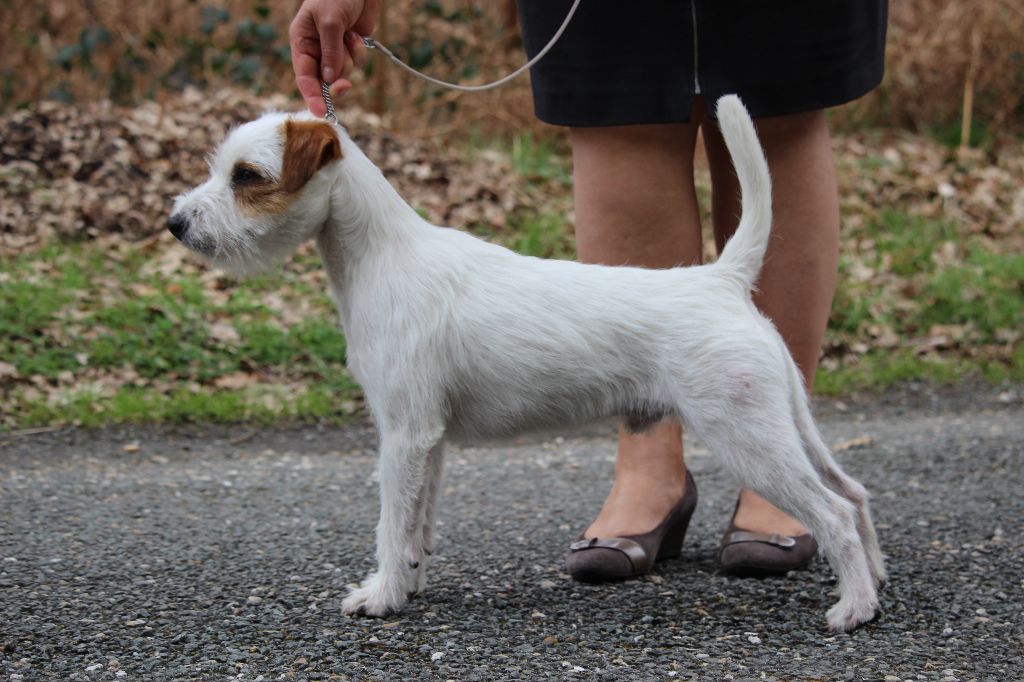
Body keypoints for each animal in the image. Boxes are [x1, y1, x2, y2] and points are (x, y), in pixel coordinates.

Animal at [172, 96, 884, 630]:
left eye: (246, 176)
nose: (176, 222)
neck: (382, 255)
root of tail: (720, 279)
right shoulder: (428, 441)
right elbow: (417, 521)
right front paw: (410, 581)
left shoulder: (402, 435)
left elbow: (390, 524)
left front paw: (379, 597)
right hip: (786, 423)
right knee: (853, 491)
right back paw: (875, 585)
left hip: (748, 438)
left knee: (834, 513)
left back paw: (851, 608)